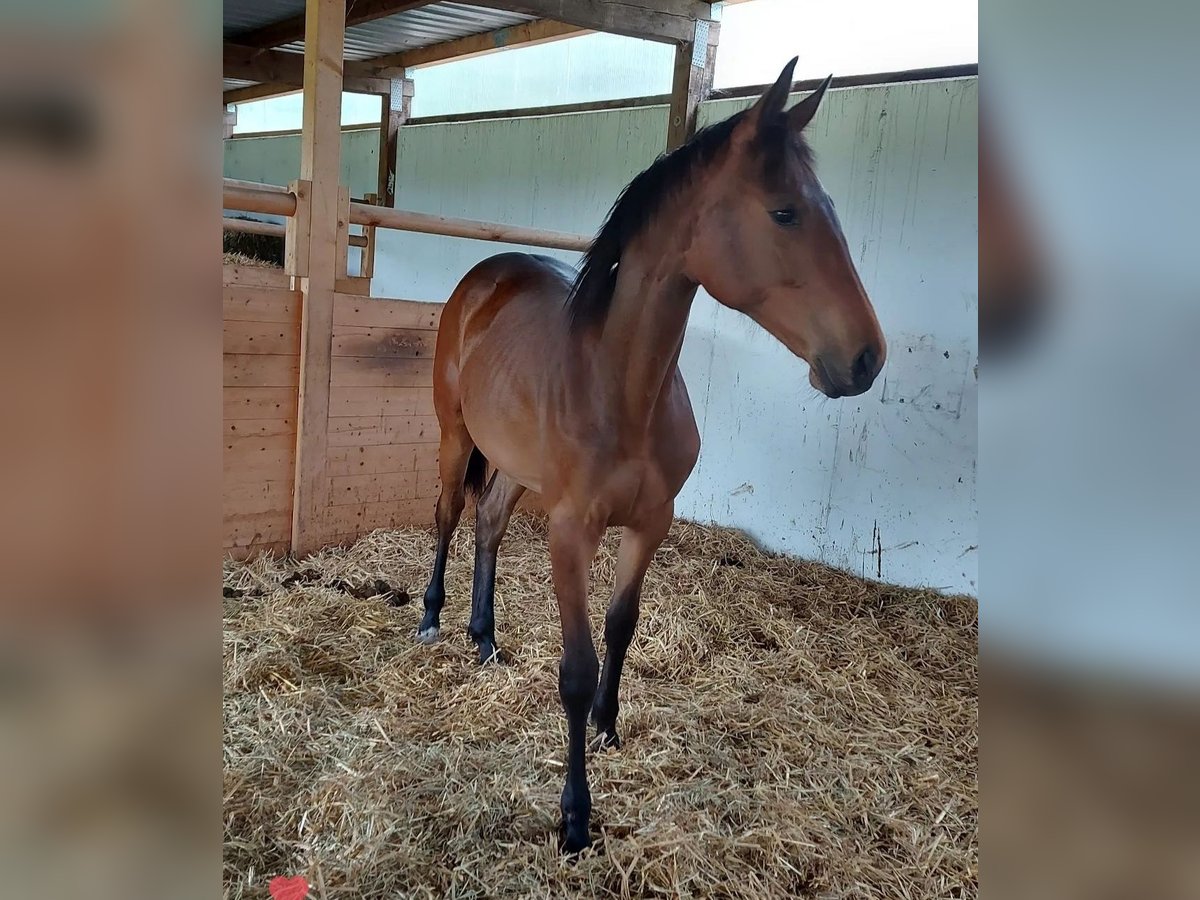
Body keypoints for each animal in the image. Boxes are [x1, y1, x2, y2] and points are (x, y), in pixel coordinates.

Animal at [417, 60, 888, 854]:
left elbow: (621, 626)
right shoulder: (570, 531)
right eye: (785, 212)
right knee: (451, 514)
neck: (620, 388)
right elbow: (575, 668)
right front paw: (575, 816)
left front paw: (608, 727)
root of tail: (486, 275)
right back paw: (431, 620)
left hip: (515, 467)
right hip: (458, 437)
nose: (865, 359)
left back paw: (485, 640)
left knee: (488, 522)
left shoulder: (650, 523)